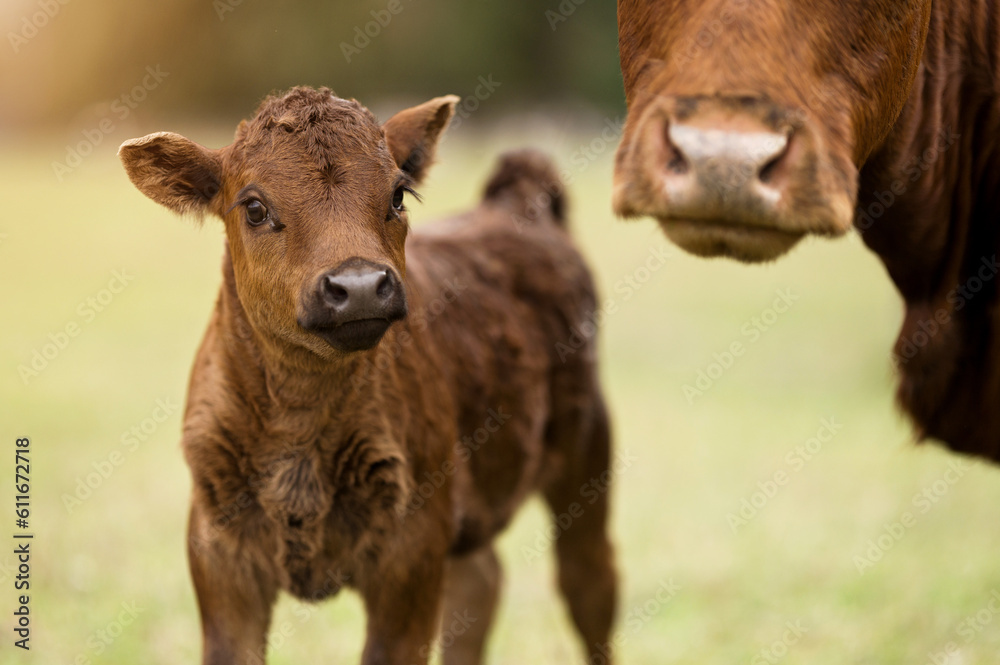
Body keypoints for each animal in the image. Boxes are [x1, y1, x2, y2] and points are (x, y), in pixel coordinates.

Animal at [118, 87, 617, 665]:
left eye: (399, 195)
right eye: (255, 207)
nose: (358, 286)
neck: (299, 427)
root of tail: (518, 206)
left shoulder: (413, 547)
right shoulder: (218, 551)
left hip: (588, 453)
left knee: (588, 583)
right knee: (482, 581)